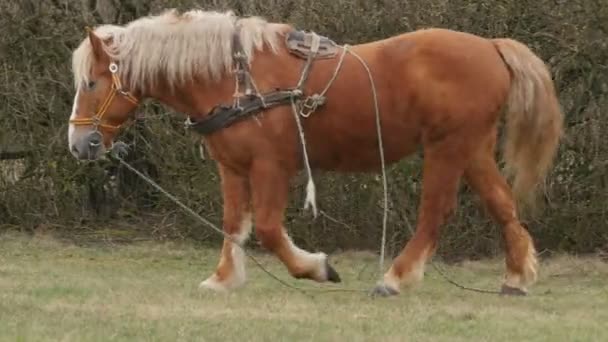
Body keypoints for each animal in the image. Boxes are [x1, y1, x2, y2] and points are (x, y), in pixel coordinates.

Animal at [67, 8, 564, 296]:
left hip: (448, 146)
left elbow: (269, 229)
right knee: (502, 204)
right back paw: (516, 277)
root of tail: (492, 47)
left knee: (435, 212)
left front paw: (316, 268)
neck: (235, 77)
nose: (79, 144)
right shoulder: (233, 167)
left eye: (91, 83)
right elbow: (233, 226)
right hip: (473, 147)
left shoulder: (270, 166)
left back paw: (396, 277)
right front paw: (224, 278)